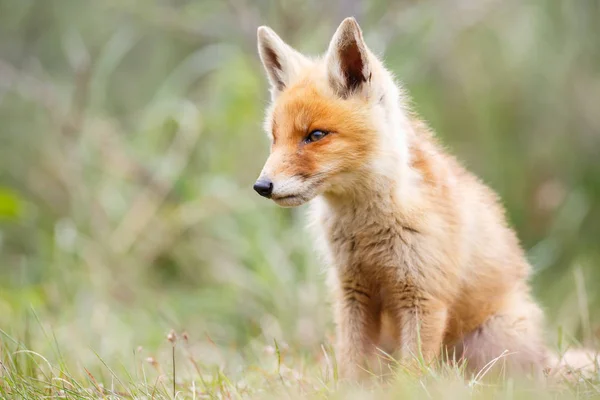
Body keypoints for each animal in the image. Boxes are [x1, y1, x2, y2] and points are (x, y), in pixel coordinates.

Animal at [251, 17, 592, 380]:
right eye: (274, 138)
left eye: (315, 135)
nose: (262, 186)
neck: (367, 229)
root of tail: (545, 362)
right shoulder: (353, 292)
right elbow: (353, 364)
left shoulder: (423, 296)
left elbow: (412, 373)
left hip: (490, 341)